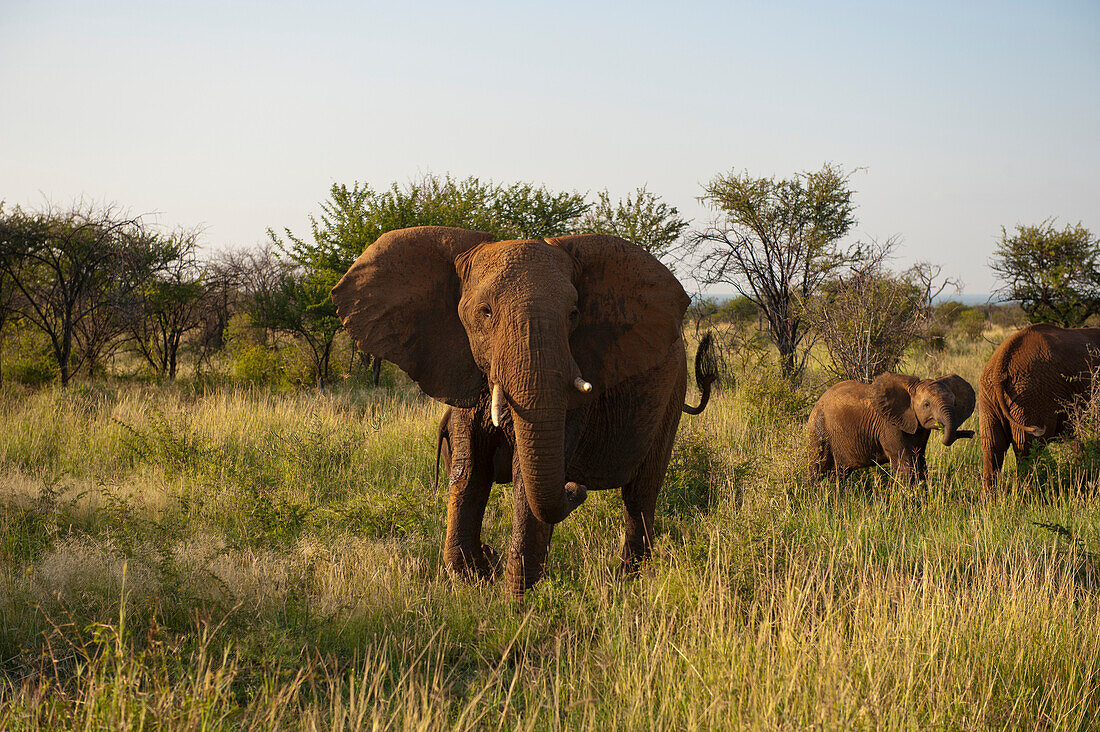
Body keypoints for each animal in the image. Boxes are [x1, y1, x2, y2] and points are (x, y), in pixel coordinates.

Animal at [330, 225, 717, 598]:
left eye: (573, 314)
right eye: (485, 313)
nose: (575, 487)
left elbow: (524, 480)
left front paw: (517, 604)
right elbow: (469, 472)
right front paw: (476, 579)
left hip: (672, 391)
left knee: (639, 495)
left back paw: (629, 583)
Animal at [805, 372, 976, 484]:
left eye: (955, 403)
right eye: (926, 405)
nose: (971, 433)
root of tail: (818, 401)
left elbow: (920, 462)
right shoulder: (890, 426)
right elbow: (906, 465)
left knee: (839, 474)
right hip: (818, 429)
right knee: (817, 468)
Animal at [981, 323, 1100, 488]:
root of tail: (1000, 362)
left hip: (991, 396)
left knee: (992, 445)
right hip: (1031, 396)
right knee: (1027, 448)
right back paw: (1029, 492)